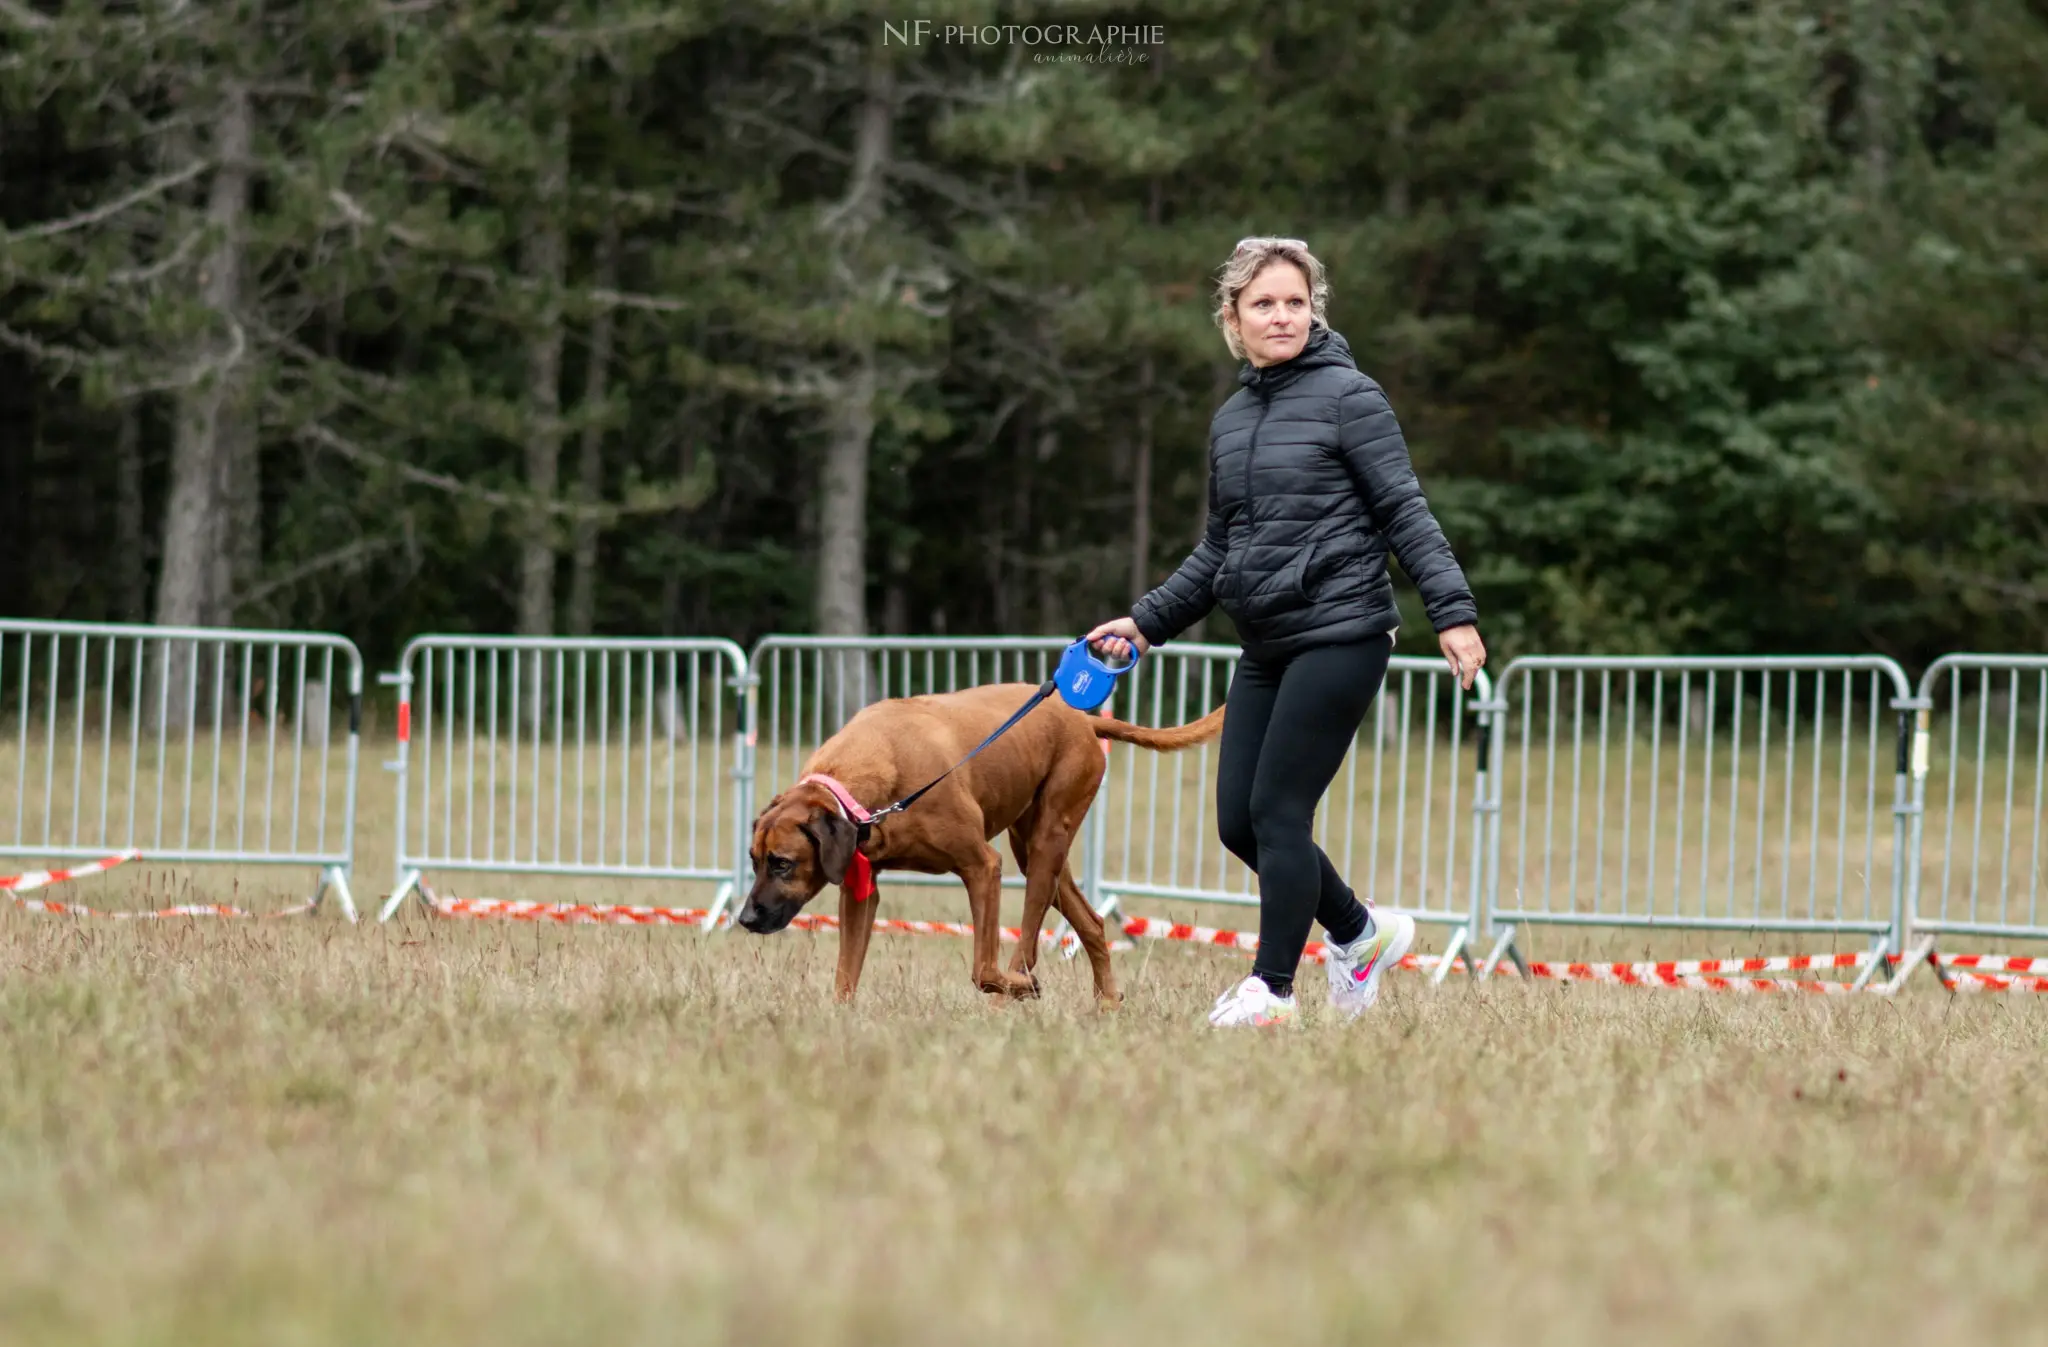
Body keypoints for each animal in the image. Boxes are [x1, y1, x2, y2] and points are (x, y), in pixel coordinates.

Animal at [737, 683, 1212, 1007]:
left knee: (1026, 947)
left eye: (782, 863)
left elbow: (982, 967)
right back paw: (1107, 1004)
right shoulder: (860, 885)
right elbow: (845, 974)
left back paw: (1016, 992)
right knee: (1090, 922)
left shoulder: (983, 866)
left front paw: (1012, 987)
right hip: (1034, 847)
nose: (744, 919)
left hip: (1047, 837)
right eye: (754, 860)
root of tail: (1080, 717)